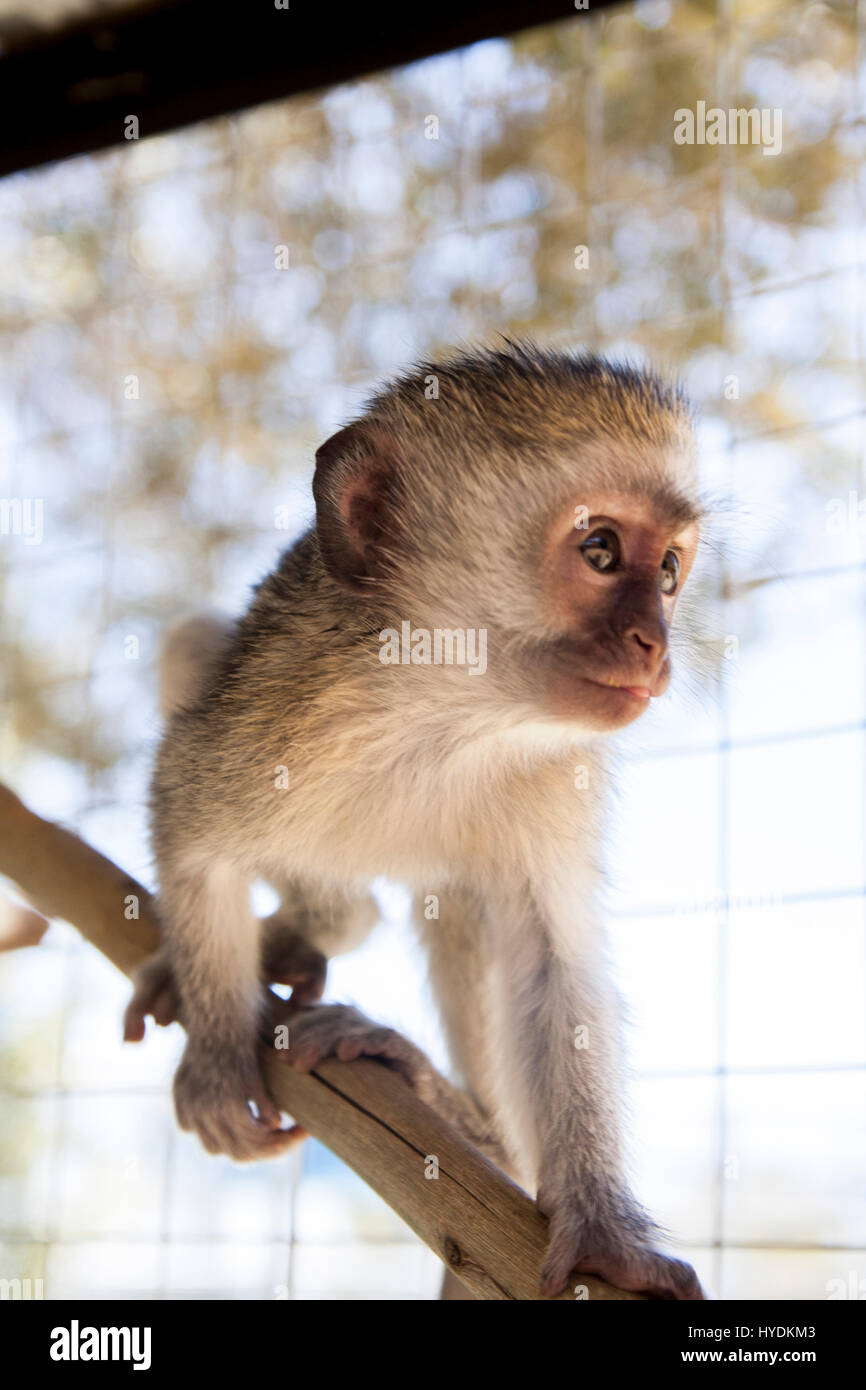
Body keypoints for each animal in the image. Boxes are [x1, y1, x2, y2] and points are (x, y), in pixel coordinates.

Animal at [125, 341, 708, 1295]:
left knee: (465, 908)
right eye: (600, 549)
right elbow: (189, 826)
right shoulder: (279, 705)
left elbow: (553, 963)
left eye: (667, 571)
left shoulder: (561, 773)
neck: (449, 715)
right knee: (193, 648)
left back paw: (464, 1116)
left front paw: (603, 1232)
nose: (654, 644)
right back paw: (310, 924)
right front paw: (215, 1057)